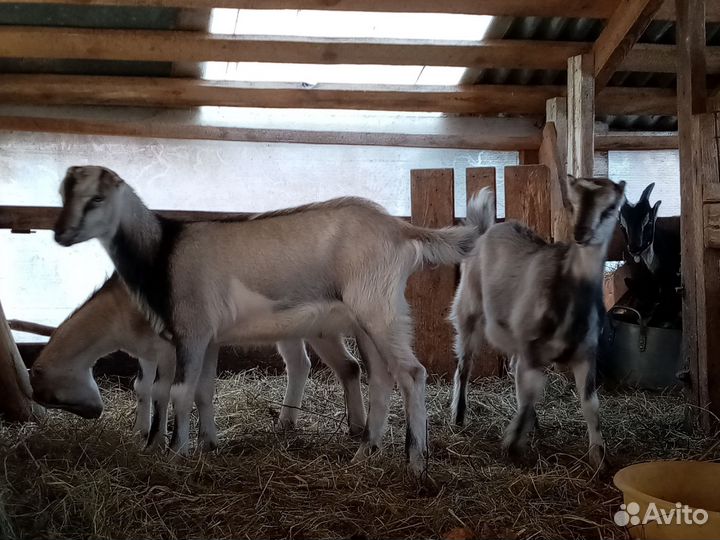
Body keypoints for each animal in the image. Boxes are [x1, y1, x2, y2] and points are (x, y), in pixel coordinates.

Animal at [30, 274, 366, 448]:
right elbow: (143, 387)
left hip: (320, 324)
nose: (95, 413)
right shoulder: (147, 349)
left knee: (348, 366)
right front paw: (143, 431)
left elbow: (169, 391)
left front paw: (162, 441)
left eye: (52, 397)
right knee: (304, 364)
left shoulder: (179, 346)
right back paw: (288, 422)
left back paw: (357, 427)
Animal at [451, 177, 626, 468]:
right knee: (465, 365)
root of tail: (486, 230)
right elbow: (530, 392)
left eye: (611, 207)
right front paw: (512, 445)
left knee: (514, 369)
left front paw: (599, 457)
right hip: (468, 308)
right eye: (571, 204)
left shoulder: (586, 352)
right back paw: (458, 417)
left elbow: (590, 403)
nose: (581, 233)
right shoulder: (532, 346)